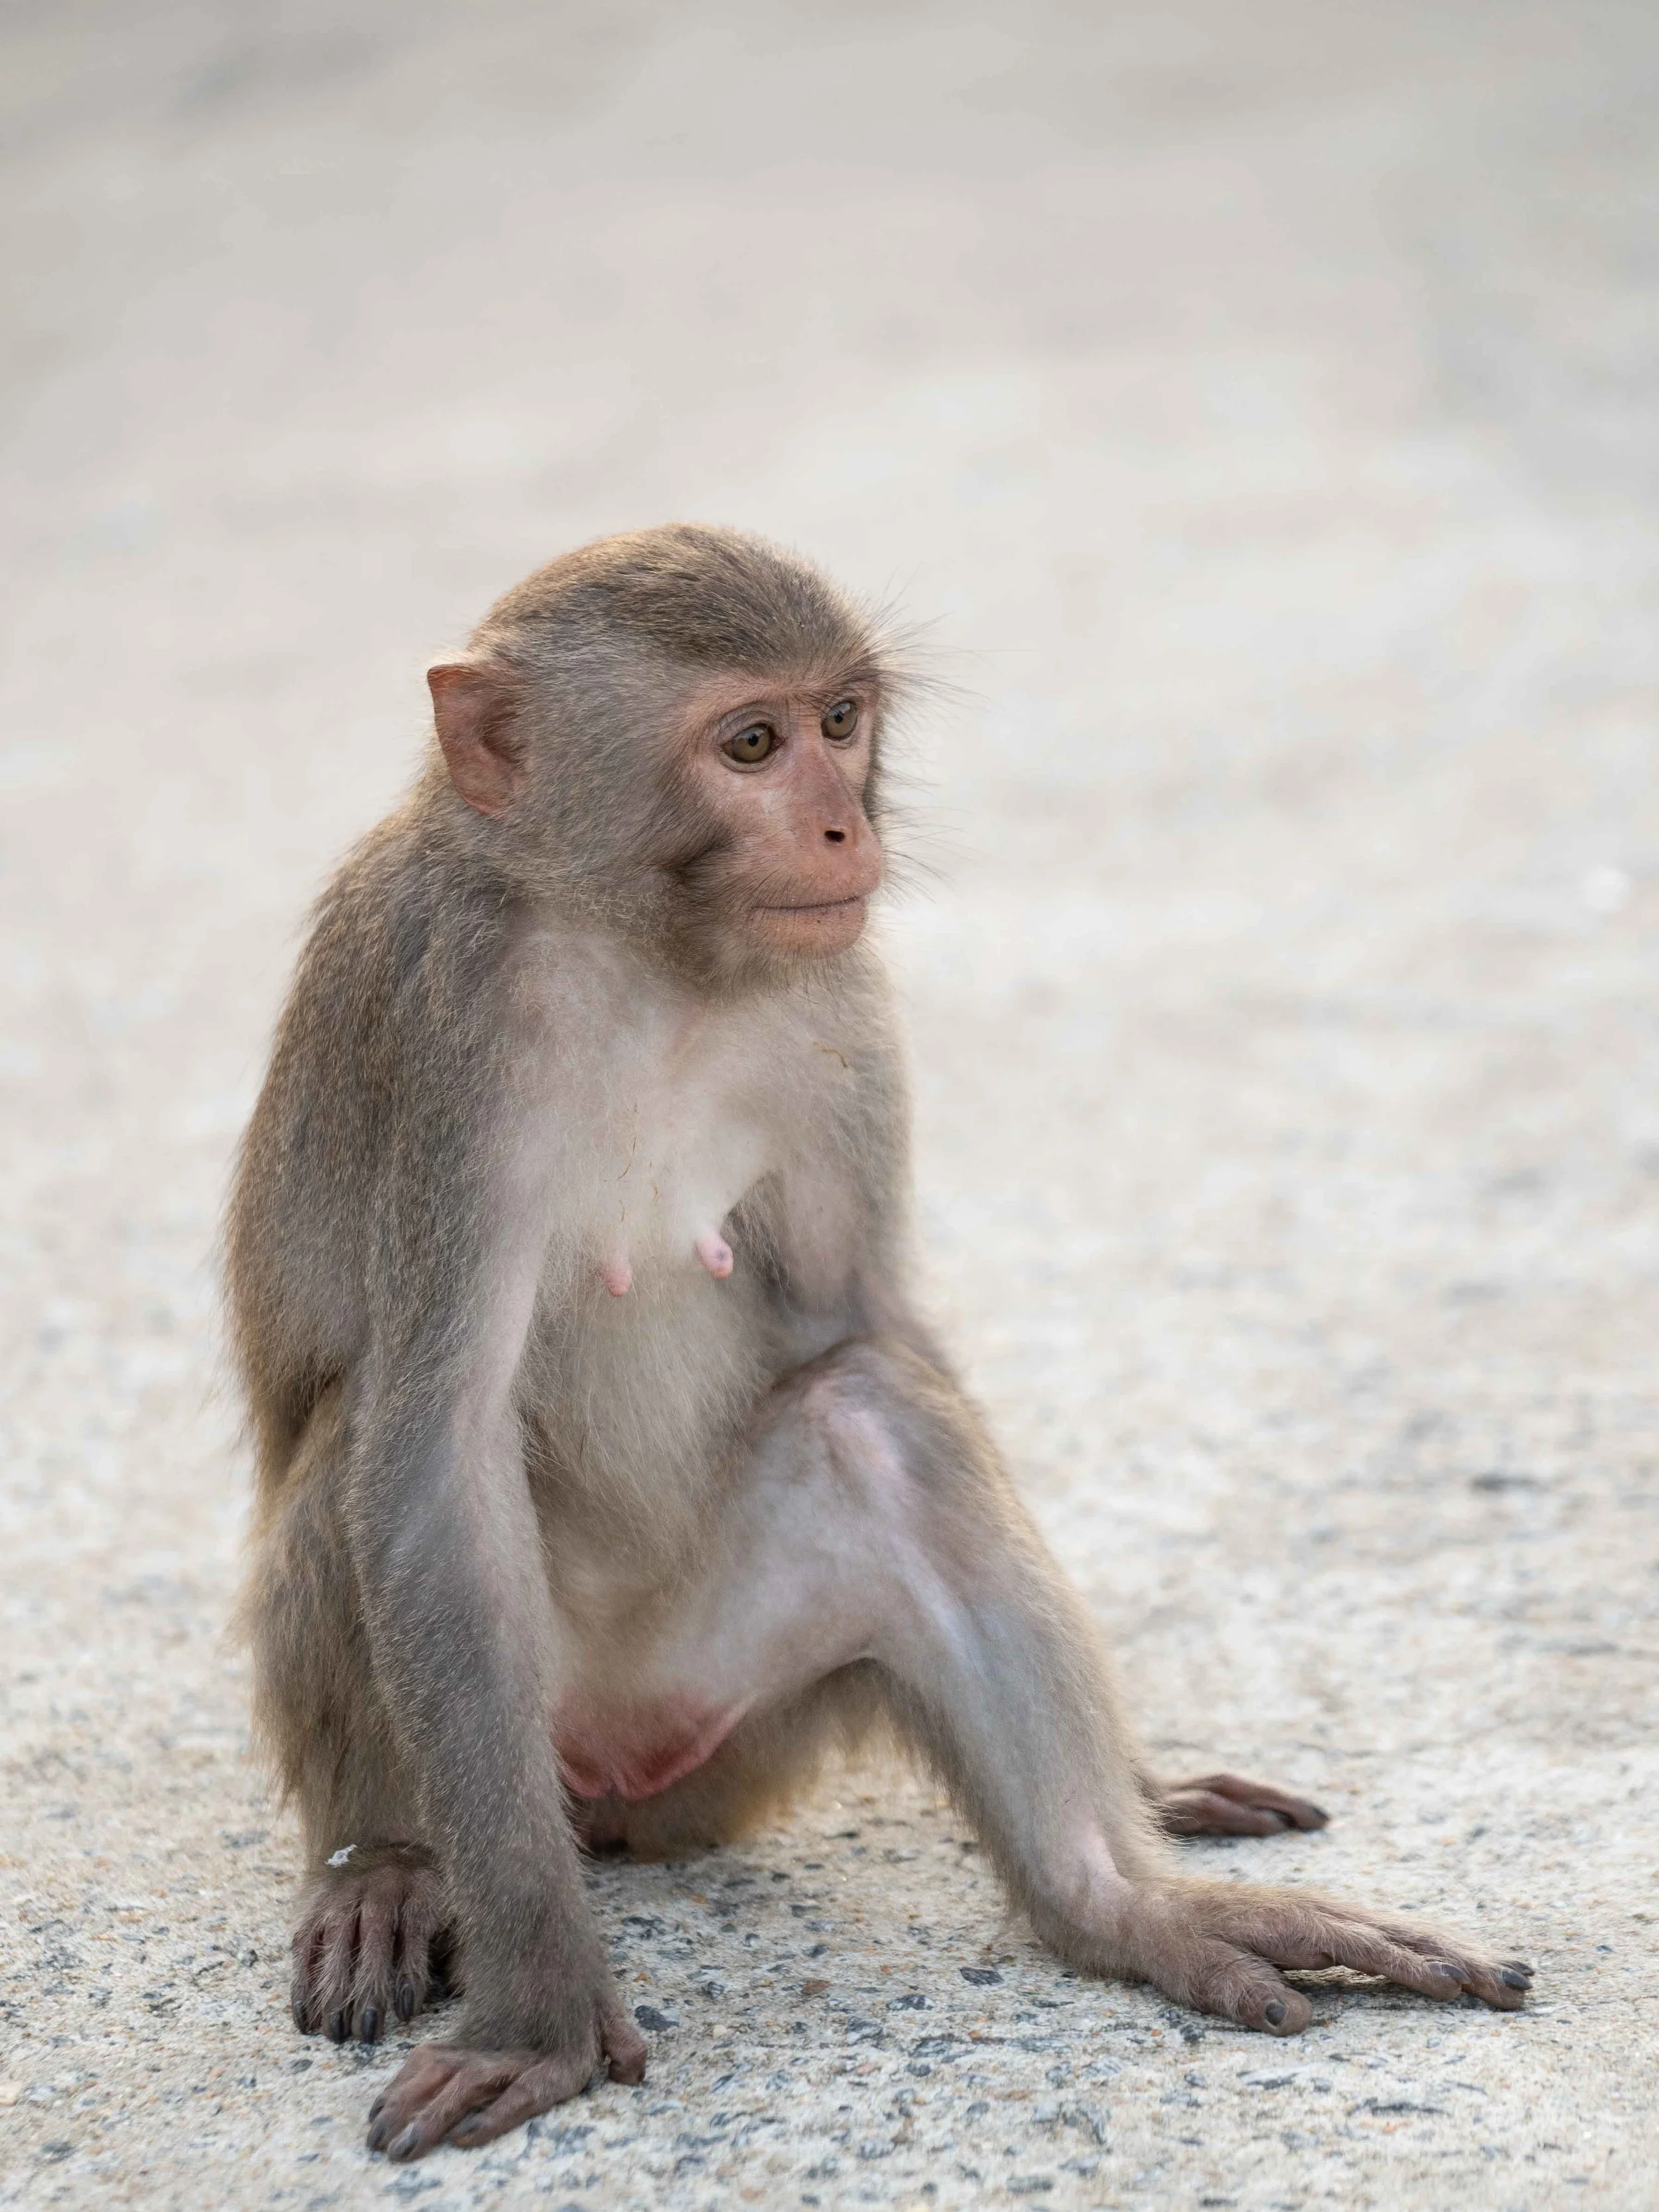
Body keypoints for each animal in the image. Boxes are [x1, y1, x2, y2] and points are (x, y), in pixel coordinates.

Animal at [225, 524, 1532, 2164]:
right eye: (750, 744)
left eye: (840, 721)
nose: (843, 825)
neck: (639, 947)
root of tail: (620, 1777)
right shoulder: (446, 1032)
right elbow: (432, 1454)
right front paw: (539, 2013)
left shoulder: (836, 1003)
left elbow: (865, 1321)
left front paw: (1149, 1794)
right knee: (358, 1455)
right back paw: (389, 1862)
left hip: (738, 1717)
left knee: (874, 1413)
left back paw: (1125, 1907)